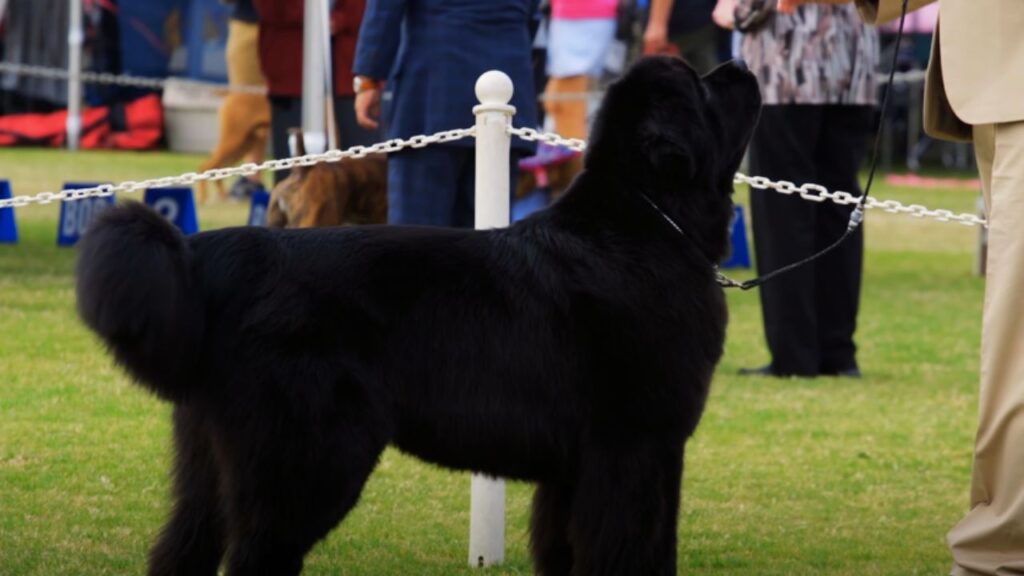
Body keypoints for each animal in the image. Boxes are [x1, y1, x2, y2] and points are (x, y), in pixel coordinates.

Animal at [75, 54, 761, 573]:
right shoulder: (635, 448)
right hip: (309, 456)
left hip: (209, 462)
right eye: (701, 87)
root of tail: (206, 254)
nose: (741, 64)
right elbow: (639, 551)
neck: (649, 224)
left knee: (182, 548)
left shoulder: (580, 469)